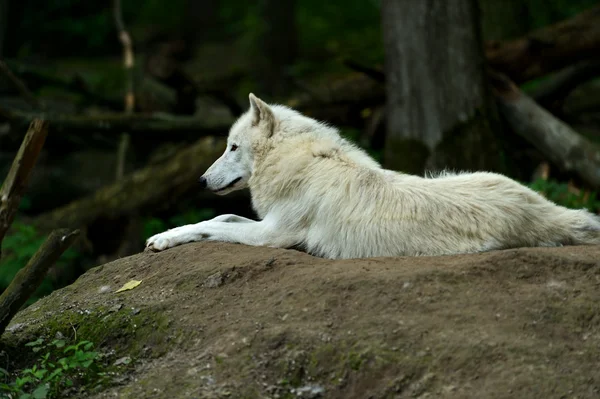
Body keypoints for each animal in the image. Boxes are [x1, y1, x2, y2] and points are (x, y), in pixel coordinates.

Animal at [145, 94, 600, 260]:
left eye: (232, 147)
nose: (201, 182)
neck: (302, 163)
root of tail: (544, 208)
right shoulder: (265, 224)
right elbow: (219, 218)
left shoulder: (273, 235)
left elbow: (211, 226)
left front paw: (163, 238)